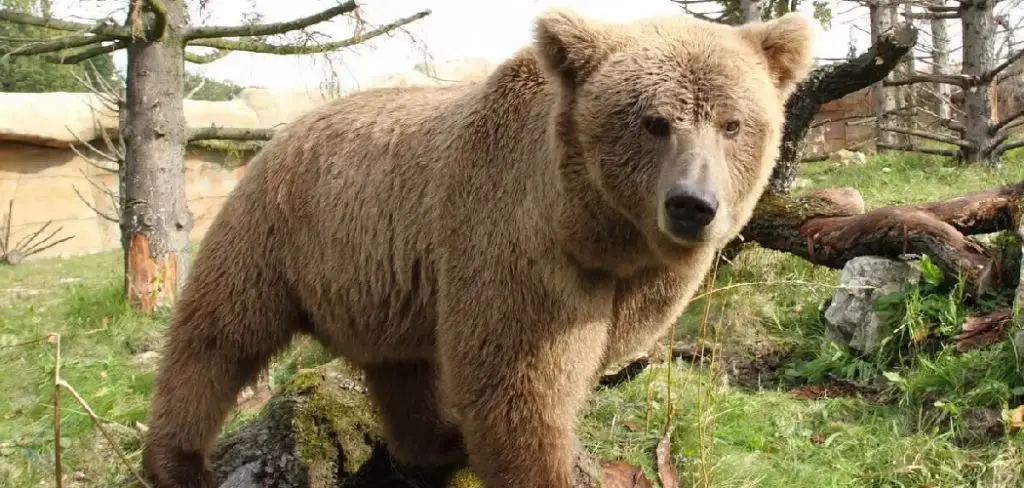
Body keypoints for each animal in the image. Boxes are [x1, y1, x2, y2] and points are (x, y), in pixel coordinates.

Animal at [141, 8, 815, 488]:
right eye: (654, 122)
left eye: (733, 124)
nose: (692, 205)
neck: (596, 230)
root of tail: (283, 131)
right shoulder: (514, 241)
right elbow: (516, 384)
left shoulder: (635, 279)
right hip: (278, 230)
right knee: (220, 336)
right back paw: (178, 462)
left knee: (401, 367)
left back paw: (434, 444)